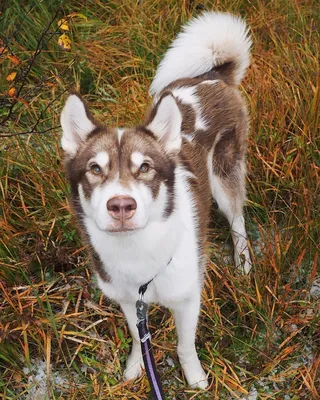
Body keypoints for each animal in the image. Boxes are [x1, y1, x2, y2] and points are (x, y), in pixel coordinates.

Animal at [60, 11, 252, 388]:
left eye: (145, 167)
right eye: (94, 169)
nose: (121, 206)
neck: (137, 255)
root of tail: (210, 77)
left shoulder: (188, 298)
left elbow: (185, 345)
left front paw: (195, 378)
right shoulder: (127, 301)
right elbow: (138, 337)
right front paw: (136, 366)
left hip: (224, 175)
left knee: (237, 218)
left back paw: (243, 261)